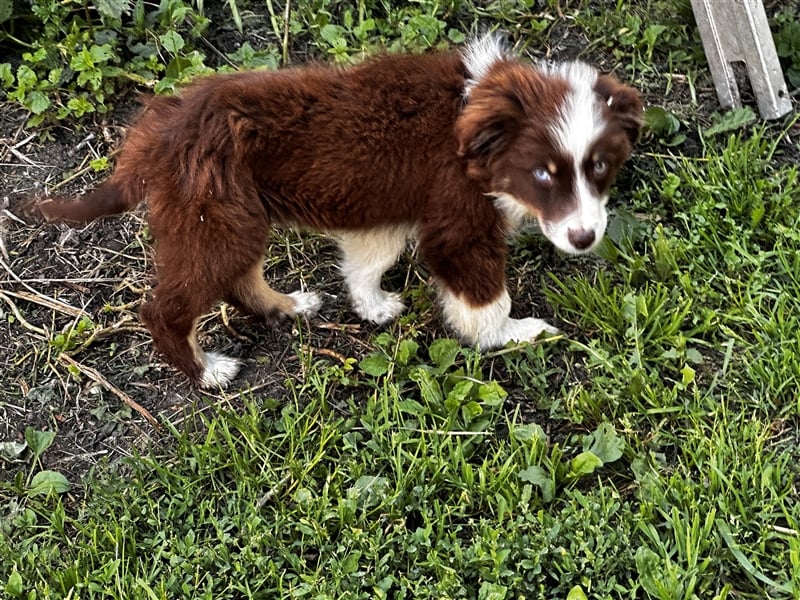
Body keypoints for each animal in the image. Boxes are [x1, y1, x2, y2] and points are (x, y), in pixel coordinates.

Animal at [37, 34, 640, 390]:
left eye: (600, 166)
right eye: (543, 174)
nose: (585, 239)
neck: (476, 123)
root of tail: (158, 131)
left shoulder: (387, 215)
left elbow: (367, 263)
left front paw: (371, 307)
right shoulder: (458, 226)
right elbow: (487, 298)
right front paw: (512, 334)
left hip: (236, 218)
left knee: (240, 280)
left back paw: (287, 306)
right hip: (218, 224)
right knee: (165, 308)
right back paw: (207, 370)